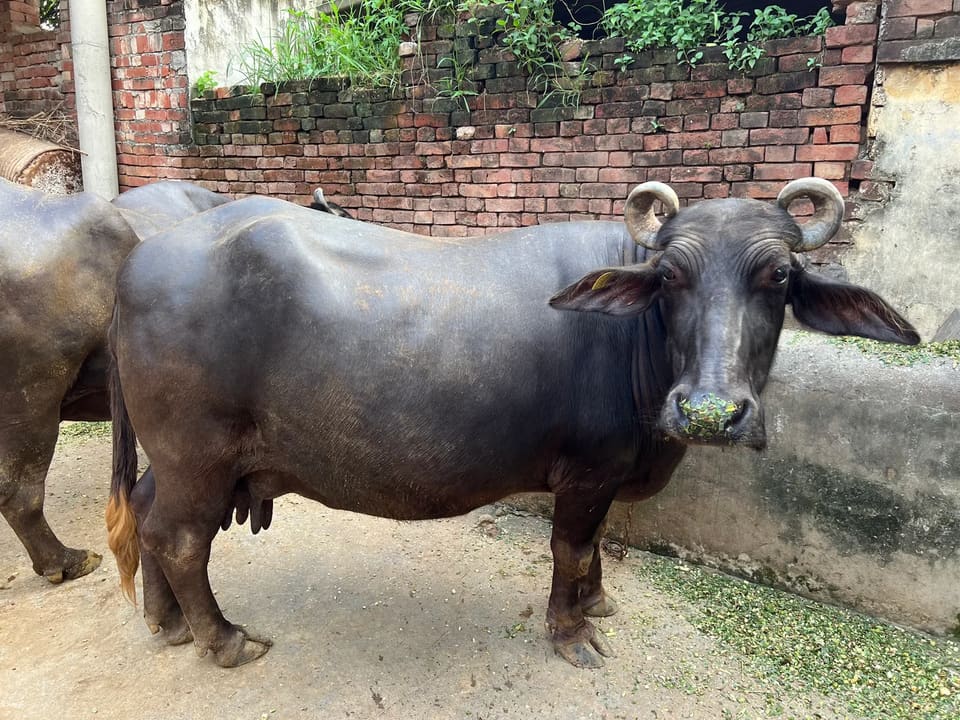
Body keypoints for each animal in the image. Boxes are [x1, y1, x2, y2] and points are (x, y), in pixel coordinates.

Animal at [105, 178, 918, 668]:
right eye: (671, 277)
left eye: (777, 276)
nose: (711, 411)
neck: (638, 339)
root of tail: (139, 260)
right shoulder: (587, 472)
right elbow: (570, 548)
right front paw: (572, 630)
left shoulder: (605, 474)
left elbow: (593, 551)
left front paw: (597, 600)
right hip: (197, 457)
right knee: (179, 537)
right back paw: (222, 639)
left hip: (176, 462)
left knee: (145, 512)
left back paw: (166, 623)